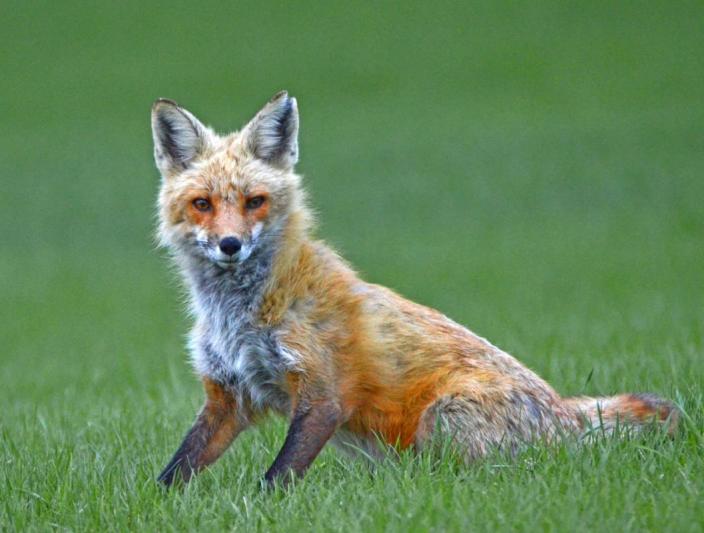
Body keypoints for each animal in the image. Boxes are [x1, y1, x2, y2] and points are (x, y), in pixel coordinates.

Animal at [151, 91, 678, 487]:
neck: (239, 313)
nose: (230, 244)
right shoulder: (229, 394)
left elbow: (275, 479)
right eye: (202, 204)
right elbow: (174, 471)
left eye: (254, 201)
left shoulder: (322, 392)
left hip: (443, 418)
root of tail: (565, 412)